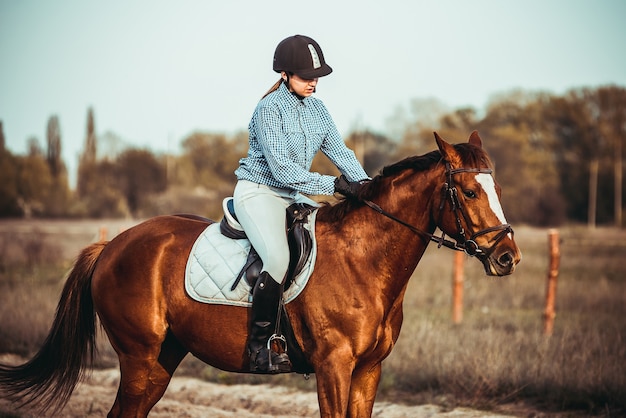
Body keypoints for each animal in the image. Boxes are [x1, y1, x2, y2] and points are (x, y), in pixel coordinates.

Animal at [0, 131, 516, 418]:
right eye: (470, 192)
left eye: (497, 188)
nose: (507, 256)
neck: (365, 262)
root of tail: (111, 245)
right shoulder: (333, 367)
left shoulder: (369, 370)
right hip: (139, 356)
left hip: (162, 359)